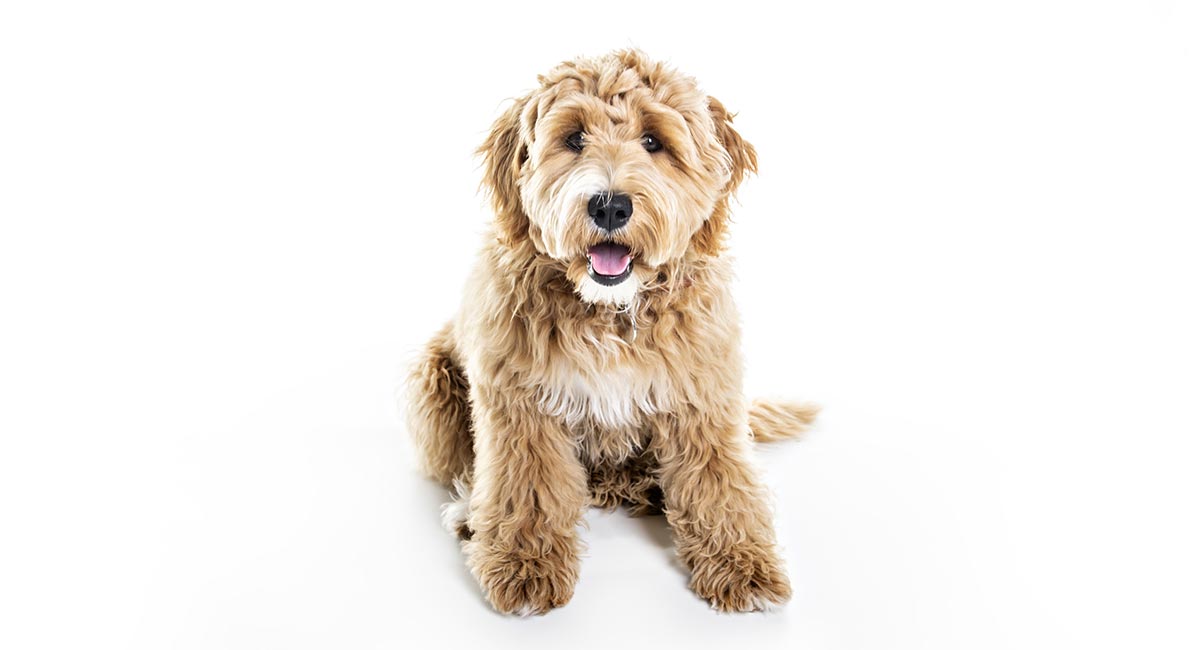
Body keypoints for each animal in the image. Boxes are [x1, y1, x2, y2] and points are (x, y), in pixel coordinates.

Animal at [405, 49, 816, 618]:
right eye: (574, 138)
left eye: (654, 141)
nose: (609, 205)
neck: (610, 312)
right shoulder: (518, 402)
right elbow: (524, 489)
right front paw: (525, 566)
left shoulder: (705, 396)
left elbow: (723, 484)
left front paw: (742, 563)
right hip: (434, 378)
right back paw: (471, 511)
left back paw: (646, 486)